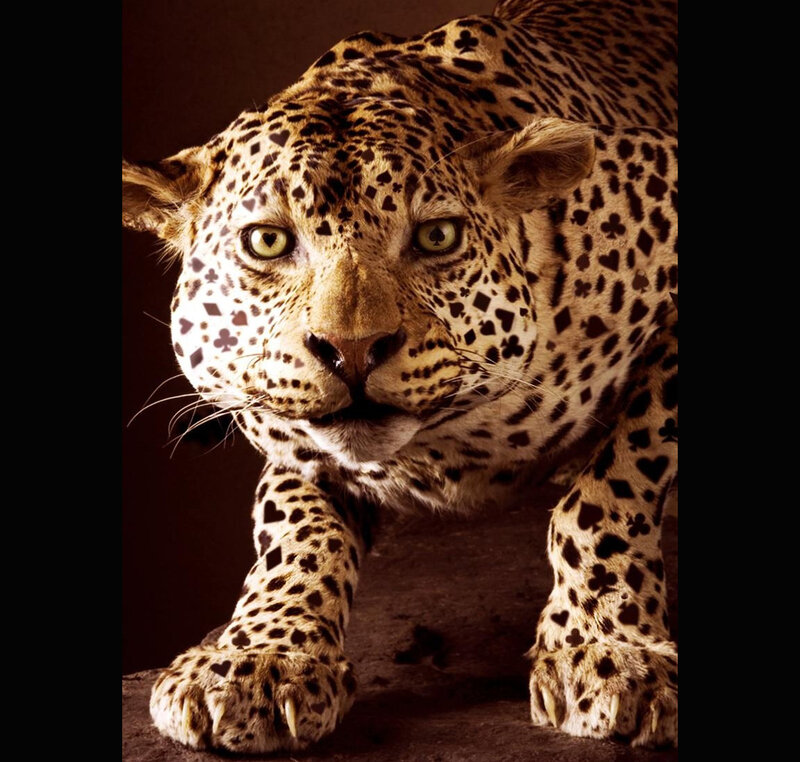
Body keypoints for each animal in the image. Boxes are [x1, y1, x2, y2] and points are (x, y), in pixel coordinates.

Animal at [122, 0, 677, 752]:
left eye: (437, 237)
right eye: (267, 240)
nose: (352, 350)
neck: (449, 447)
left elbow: (611, 485)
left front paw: (609, 650)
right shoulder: (289, 433)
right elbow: (293, 528)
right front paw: (260, 658)